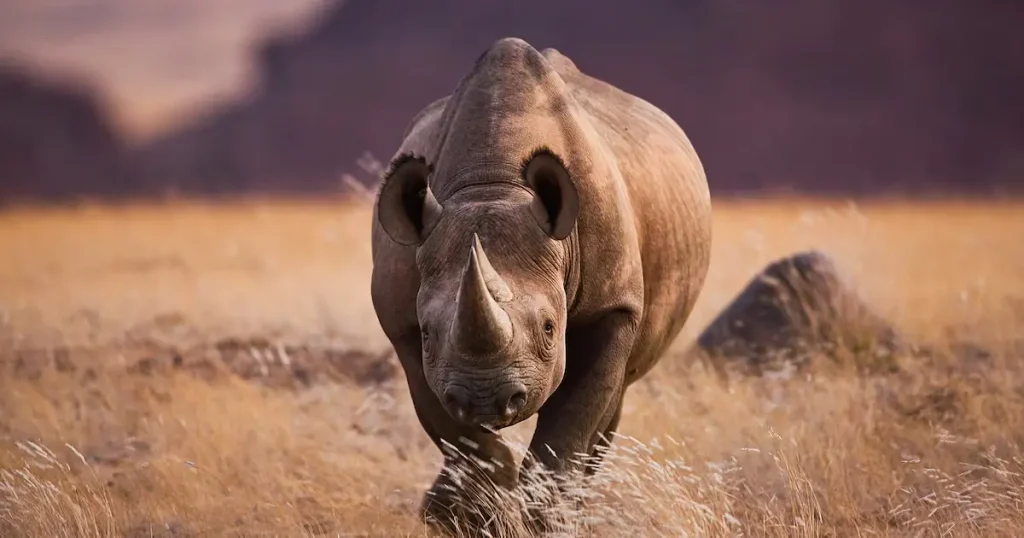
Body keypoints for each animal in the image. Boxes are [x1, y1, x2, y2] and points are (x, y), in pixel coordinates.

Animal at [370, 37, 712, 532]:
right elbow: (458, 435)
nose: (485, 400)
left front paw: (543, 520)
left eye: (551, 328)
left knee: (610, 405)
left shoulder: (614, 308)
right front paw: (478, 513)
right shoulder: (402, 324)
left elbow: (568, 430)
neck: (492, 183)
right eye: (430, 333)